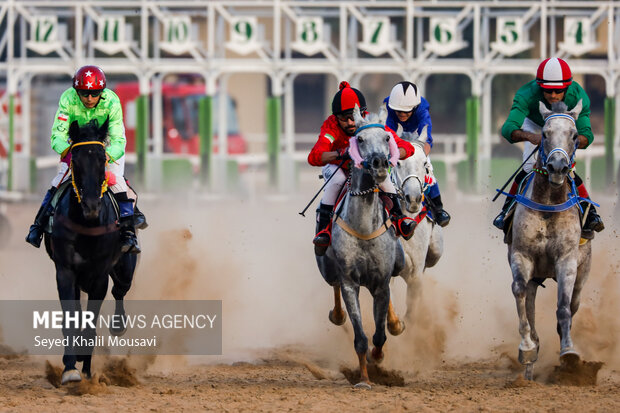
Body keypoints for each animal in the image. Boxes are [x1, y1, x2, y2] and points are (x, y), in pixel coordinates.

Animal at [44, 118, 139, 384]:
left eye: (102, 158)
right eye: (75, 160)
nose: (91, 206)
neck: (86, 224)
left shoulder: (99, 275)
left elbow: (90, 325)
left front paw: (83, 367)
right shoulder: (65, 271)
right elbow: (71, 318)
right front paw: (69, 368)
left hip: (125, 269)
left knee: (120, 290)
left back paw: (117, 326)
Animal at [314, 104, 406, 388]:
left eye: (387, 137)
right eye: (360, 140)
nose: (379, 163)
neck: (364, 227)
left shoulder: (381, 281)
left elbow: (379, 335)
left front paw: (379, 357)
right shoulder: (350, 282)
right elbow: (361, 338)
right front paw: (364, 378)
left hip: (398, 264)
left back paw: (395, 323)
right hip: (326, 266)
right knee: (332, 284)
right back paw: (337, 315)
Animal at [506, 100, 592, 380]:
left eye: (574, 135)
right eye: (544, 134)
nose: (557, 167)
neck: (549, 203)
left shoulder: (566, 259)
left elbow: (563, 306)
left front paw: (569, 351)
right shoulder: (522, 255)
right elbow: (520, 292)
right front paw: (527, 348)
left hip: (583, 271)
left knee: (573, 302)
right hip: (536, 275)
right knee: (530, 302)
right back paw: (530, 365)